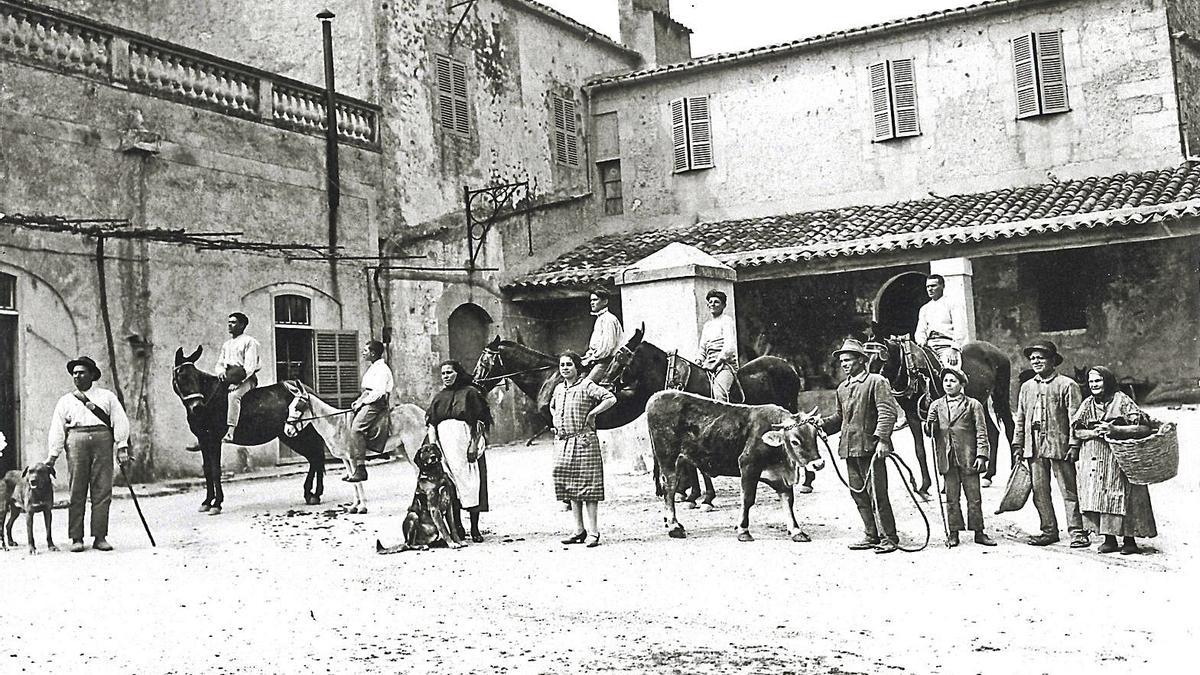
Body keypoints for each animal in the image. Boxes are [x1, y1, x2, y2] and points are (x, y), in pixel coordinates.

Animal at [172, 345, 328, 509]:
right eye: (181, 376)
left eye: (196, 377)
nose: (197, 407)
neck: (210, 399)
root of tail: (308, 392)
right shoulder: (203, 440)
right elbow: (207, 470)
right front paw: (207, 502)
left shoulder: (214, 440)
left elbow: (216, 470)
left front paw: (217, 503)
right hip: (292, 435)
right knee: (315, 458)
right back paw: (312, 494)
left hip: (300, 435)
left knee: (315, 457)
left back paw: (314, 494)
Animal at [604, 324, 811, 504]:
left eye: (620, 358)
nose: (606, 383)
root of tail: (787, 365)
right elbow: (691, 461)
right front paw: (694, 495)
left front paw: (705, 497)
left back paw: (806, 481)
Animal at [864, 333, 1012, 492]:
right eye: (866, 356)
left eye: (881, 357)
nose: (868, 381)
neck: (913, 370)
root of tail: (998, 352)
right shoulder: (912, 417)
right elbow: (920, 450)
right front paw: (925, 485)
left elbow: (941, 447)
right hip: (980, 403)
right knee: (993, 432)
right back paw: (988, 476)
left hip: (1001, 396)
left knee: (1010, 428)